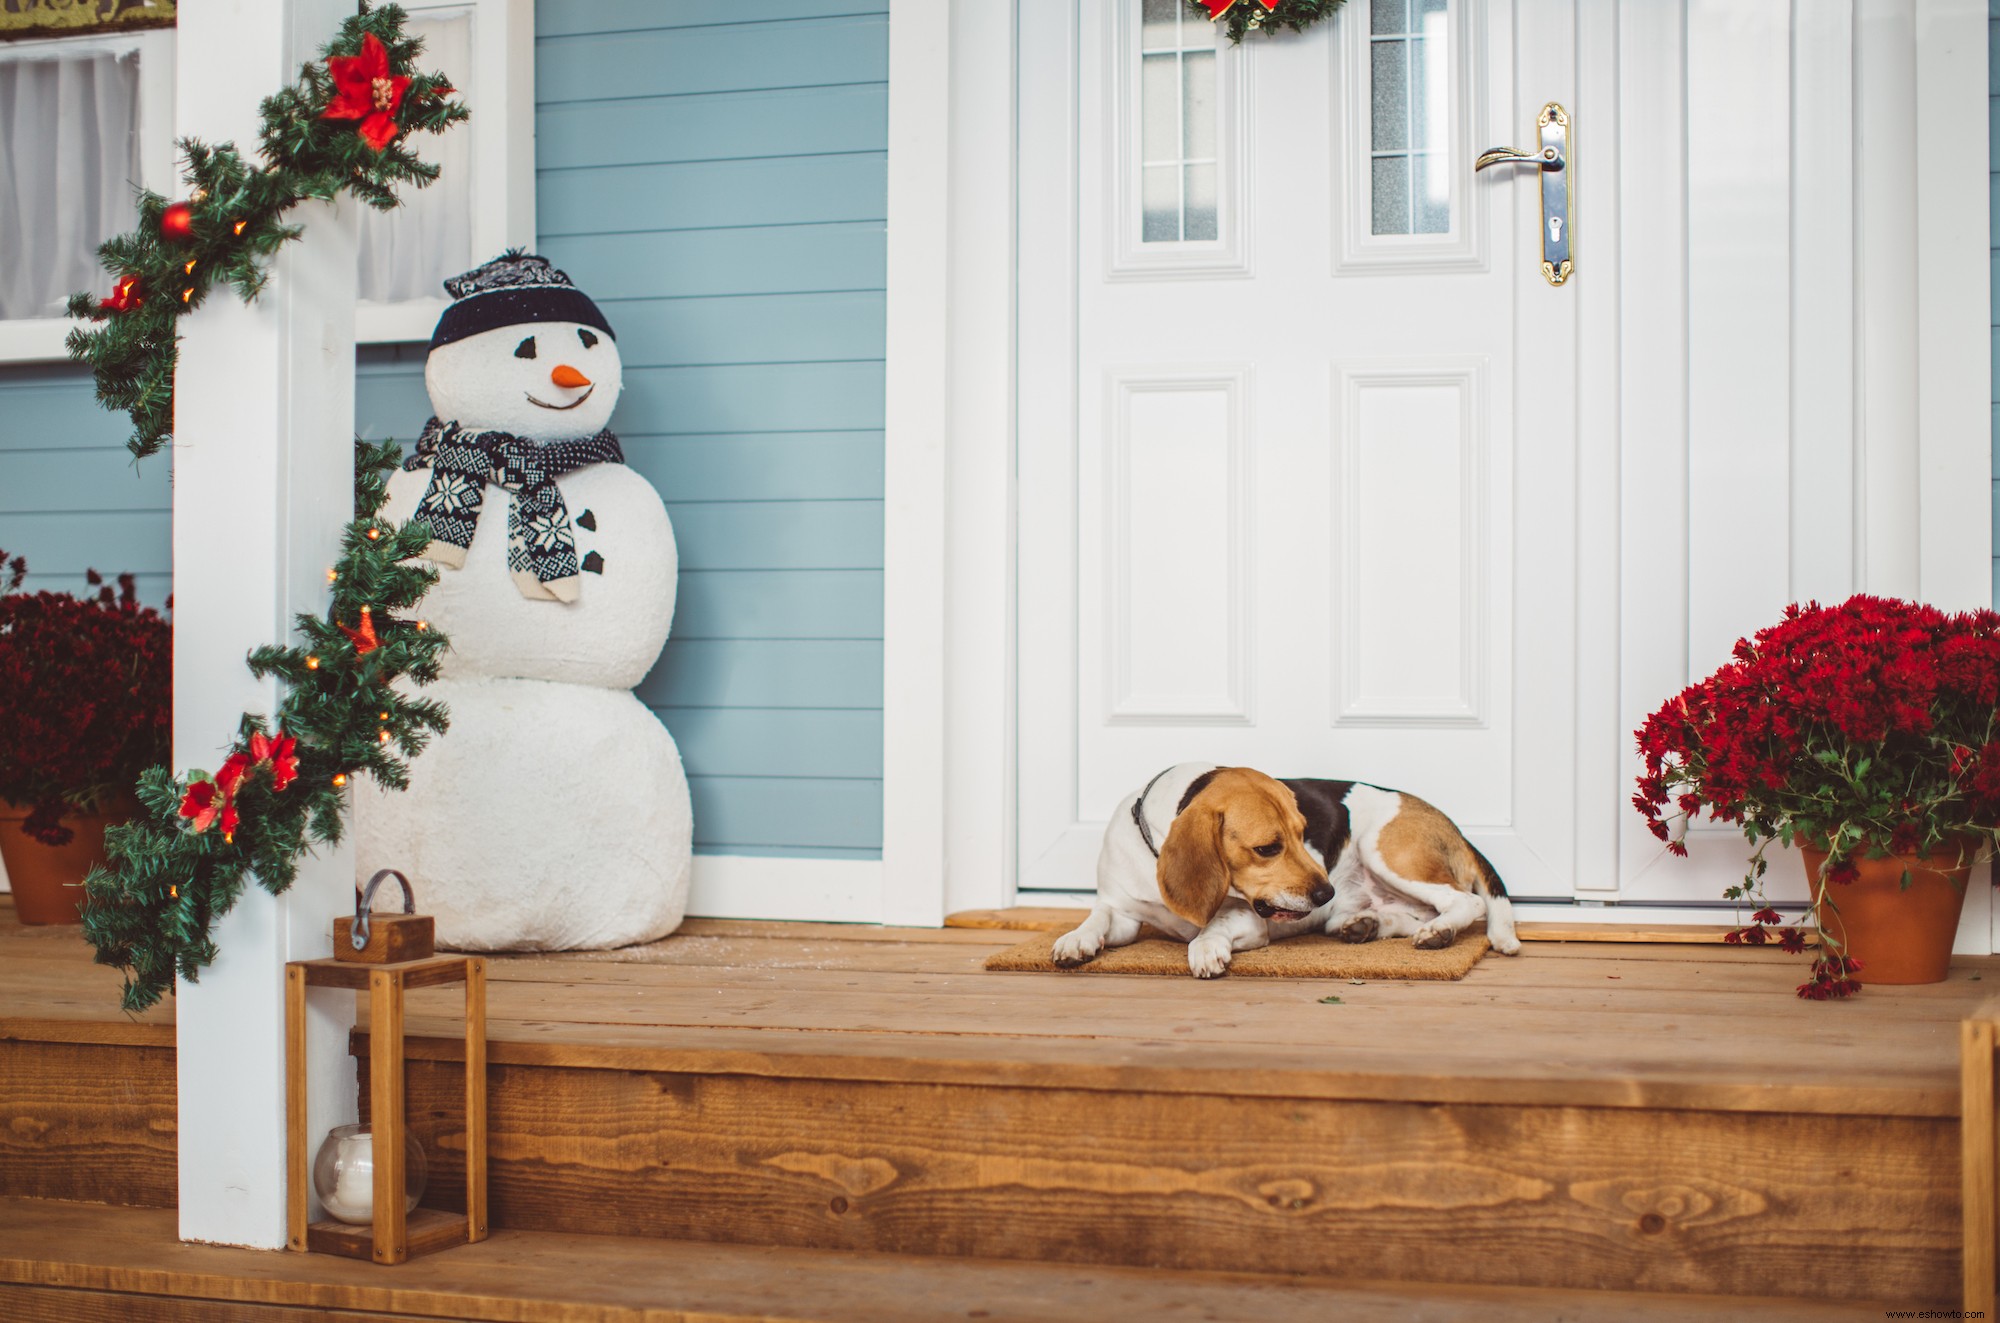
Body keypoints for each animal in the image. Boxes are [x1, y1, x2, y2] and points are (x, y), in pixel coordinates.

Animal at [1056, 771, 1520, 979]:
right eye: (1267, 848)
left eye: (1303, 832)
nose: (1326, 893)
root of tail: (1455, 828)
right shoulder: (1122, 913)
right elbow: (1098, 918)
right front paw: (1075, 940)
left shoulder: (1251, 919)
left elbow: (1215, 924)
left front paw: (1204, 947)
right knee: (1412, 914)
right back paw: (1365, 924)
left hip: (1384, 850)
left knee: (1467, 902)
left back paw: (1439, 933)